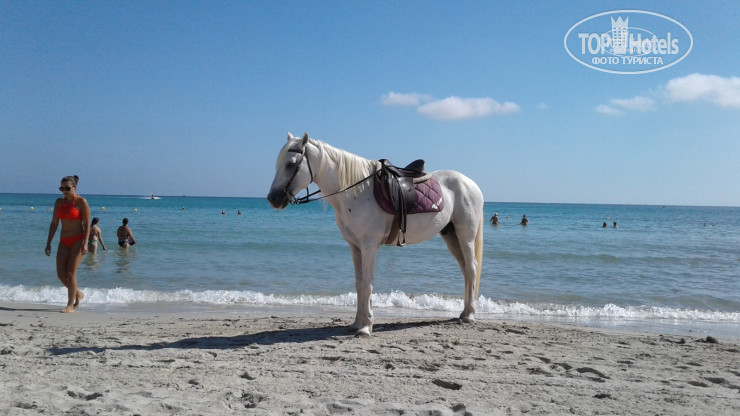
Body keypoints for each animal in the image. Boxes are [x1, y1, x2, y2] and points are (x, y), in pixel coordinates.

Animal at [267, 133, 484, 336]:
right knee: (466, 271)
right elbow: (359, 284)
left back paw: (469, 315)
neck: (356, 193)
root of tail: (471, 184)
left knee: (471, 269)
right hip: (451, 235)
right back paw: (464, 313)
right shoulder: (355, 246)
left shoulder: (369, 246)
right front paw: (357, 323)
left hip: (465, 235)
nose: (272, 199)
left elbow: (367, 284)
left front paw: (366, 326)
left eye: (291, 164)